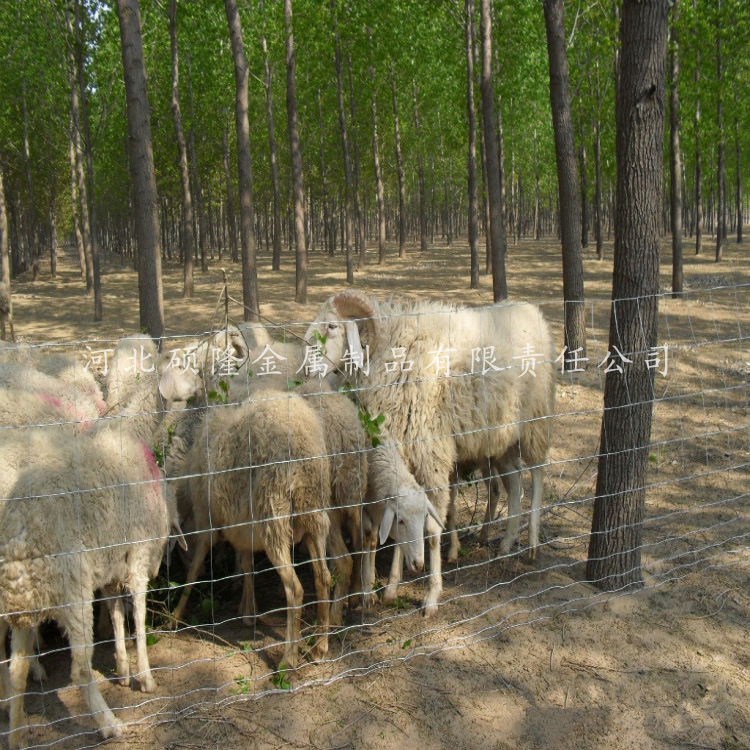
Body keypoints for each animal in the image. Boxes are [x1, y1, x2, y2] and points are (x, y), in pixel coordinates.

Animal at [175, 390, 334, 668]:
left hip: (273, 516)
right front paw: (248, 612)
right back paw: (319, 648)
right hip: (313, 515)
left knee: (295, 589)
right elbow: (247, 564)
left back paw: (288, 659)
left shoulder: (207, 520)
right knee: (323, 577)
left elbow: (194, 569)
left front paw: (174, 615)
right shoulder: (243, 527)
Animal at [306, 292, 560, 616]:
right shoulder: (403, 453)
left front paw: (431, 595)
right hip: (500, 436)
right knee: (515, 483)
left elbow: (431, 528)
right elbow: (399, 522)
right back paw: (505, 545)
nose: (306, 371)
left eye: (331, 326)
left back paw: (532, 543)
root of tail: (530, 310)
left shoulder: (432, 456)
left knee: (538, 474)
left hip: (535, 420)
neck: (393, 352)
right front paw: (391, 587)